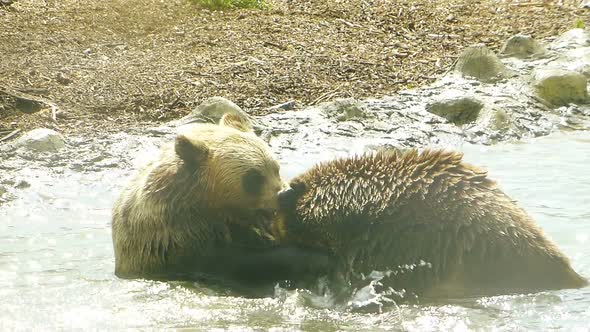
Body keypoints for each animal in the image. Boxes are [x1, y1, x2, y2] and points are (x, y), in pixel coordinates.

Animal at [111, 114, 332, 286]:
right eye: (253, 178)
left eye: (275, 168)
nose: (284, 194)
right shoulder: (185, 241)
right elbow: (251, 263)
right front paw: (317, 258)